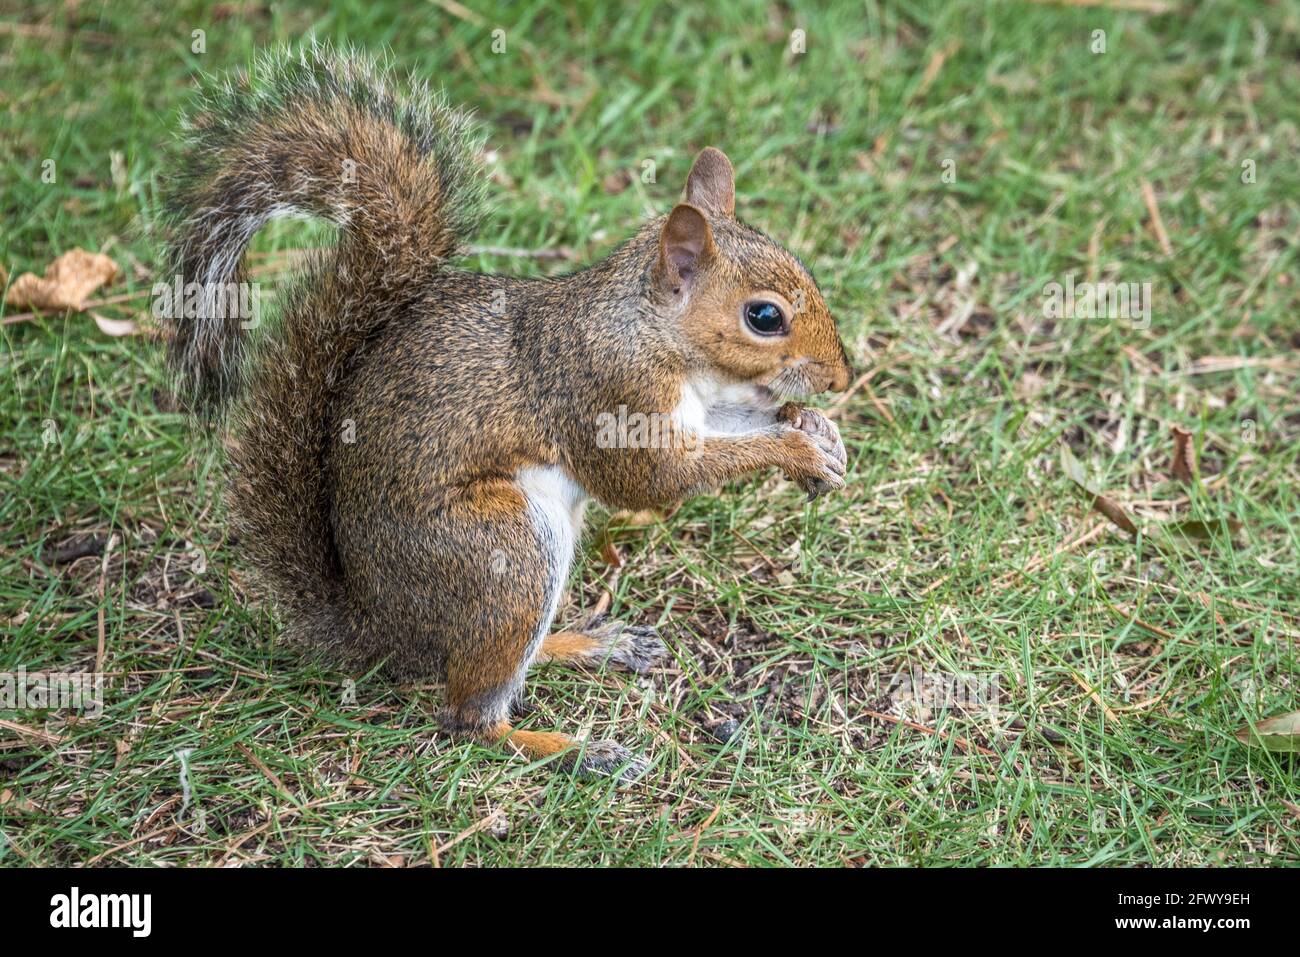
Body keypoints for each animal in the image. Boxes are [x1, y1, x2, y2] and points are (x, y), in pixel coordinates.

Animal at [160, 43, 853, 781]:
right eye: (764, 317)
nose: (842, 375)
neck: (652, 334)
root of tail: (379, 629)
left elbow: (729, 430)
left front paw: (816, 432)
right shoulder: (608, 394)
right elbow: (652, 479)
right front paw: (796, 448)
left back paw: (593, 645)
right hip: (505, 551)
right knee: (469, 715)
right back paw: (575, 749)